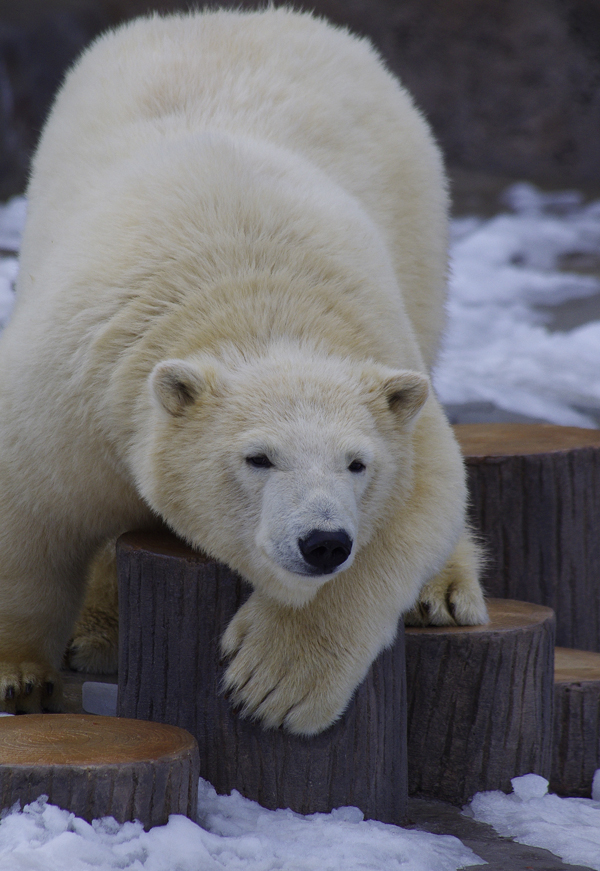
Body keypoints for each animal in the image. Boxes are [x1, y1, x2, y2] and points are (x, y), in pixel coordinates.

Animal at [0, 8, 486, 728]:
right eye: (258, 458)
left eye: (357, 463)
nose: (322, 541)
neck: (251, 298)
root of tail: (235, 14)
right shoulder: (76, 386)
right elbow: (29, 509)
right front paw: (20, 678)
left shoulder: (382, 354)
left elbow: (424, 495)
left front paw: (275, 681)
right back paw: (97, 632)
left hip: (419, 236)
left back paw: (449, 594)